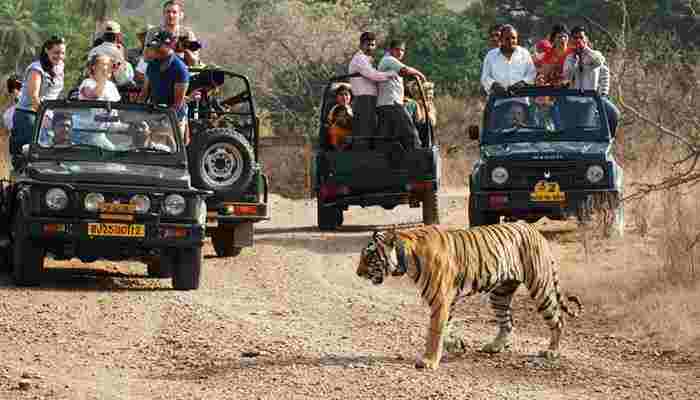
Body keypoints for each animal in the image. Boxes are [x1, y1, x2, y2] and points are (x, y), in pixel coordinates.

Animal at [356, 222, 580, 368]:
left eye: (369, 256)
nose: (358, 273)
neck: (407, 256)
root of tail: (535, 231)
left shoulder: (440, 299)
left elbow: (435, 331)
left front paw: (429, 361)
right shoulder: (448, 300)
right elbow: (446, 329)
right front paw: (457, 345)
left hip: (540, 287)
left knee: (558, 320)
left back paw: (552, 351)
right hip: (500, 293)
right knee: (507, 322)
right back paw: (494, 347)